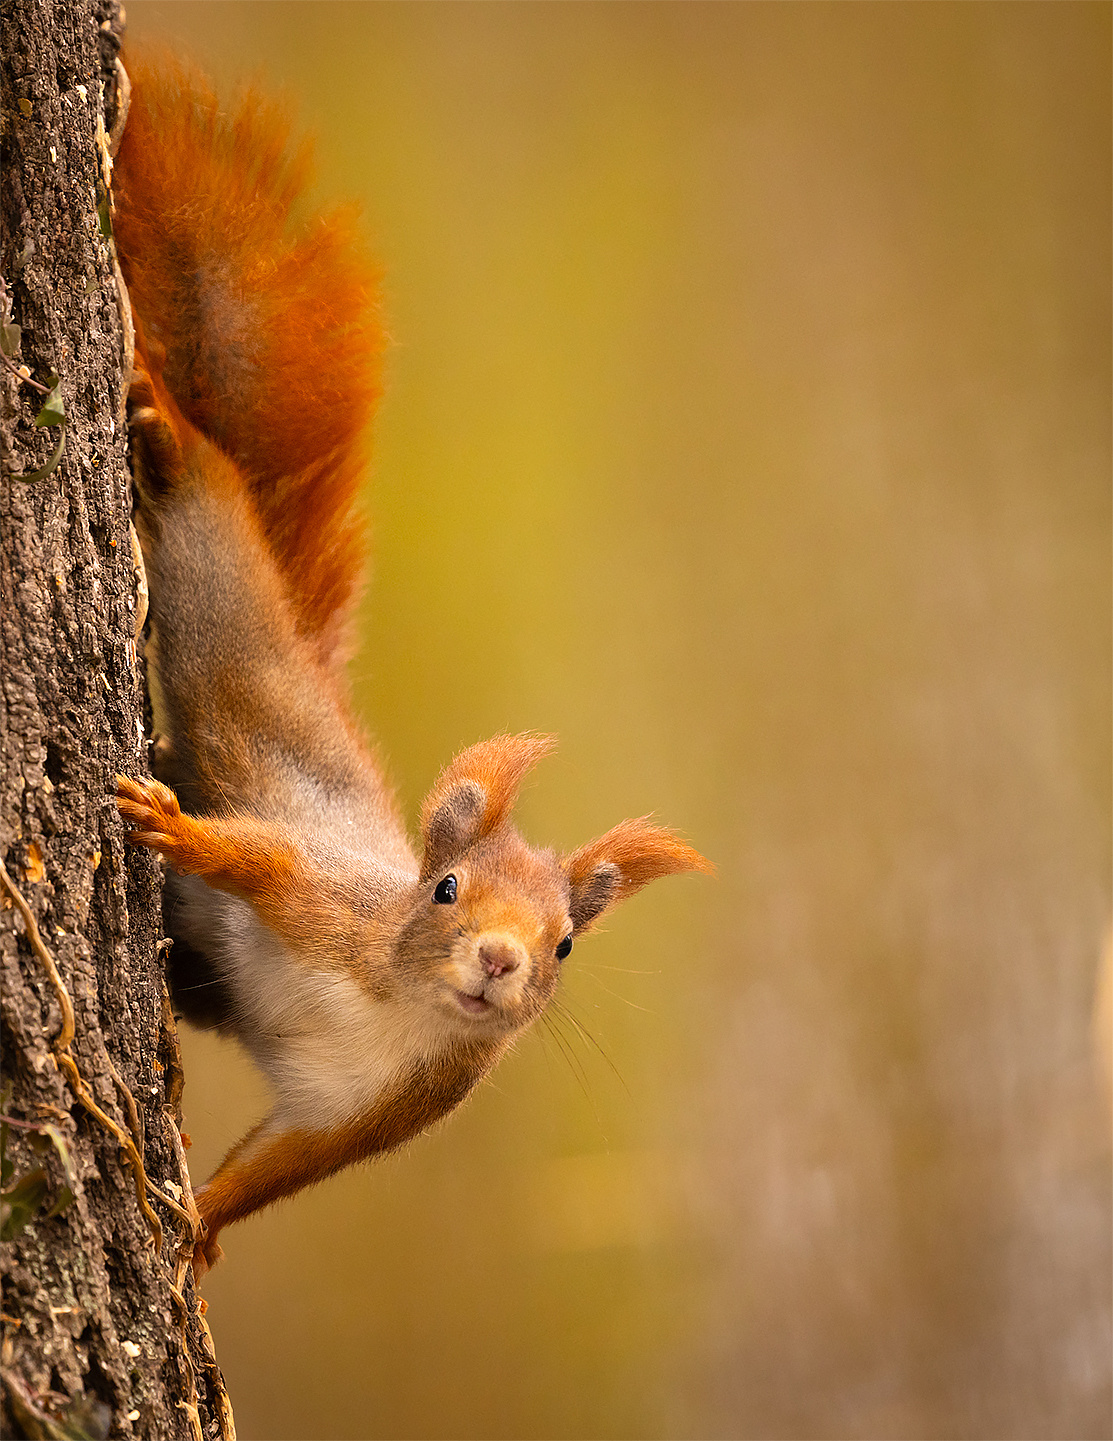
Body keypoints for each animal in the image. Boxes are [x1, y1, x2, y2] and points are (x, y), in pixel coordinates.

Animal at [110, 53, 710, 1278]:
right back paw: (163, 414)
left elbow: (275, 1168)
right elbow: (257, 859)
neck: (405, 1001)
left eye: (565, 945)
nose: (499, 961)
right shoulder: (322, 898)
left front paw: (195, 1227)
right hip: (224, 607)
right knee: (205, 492)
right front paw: (177, 831)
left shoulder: (375, 1109)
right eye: (443, 890)